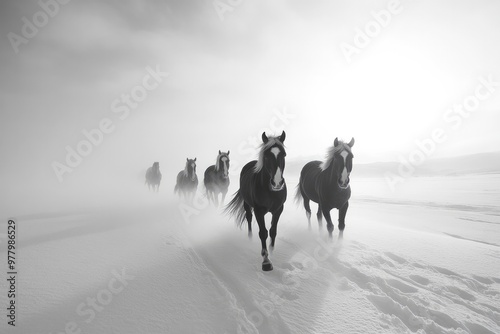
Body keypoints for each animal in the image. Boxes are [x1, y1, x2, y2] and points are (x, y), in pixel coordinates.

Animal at [226, 130, 288, 272]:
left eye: (283, 154)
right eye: (266, 156)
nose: (277, 183)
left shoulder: (278, 210)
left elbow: (273, 231)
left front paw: (272, 250)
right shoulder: (259, 211)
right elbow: (263, 233)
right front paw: (266, 261)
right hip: (247, 204)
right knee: (248, 218)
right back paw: (249, 238)